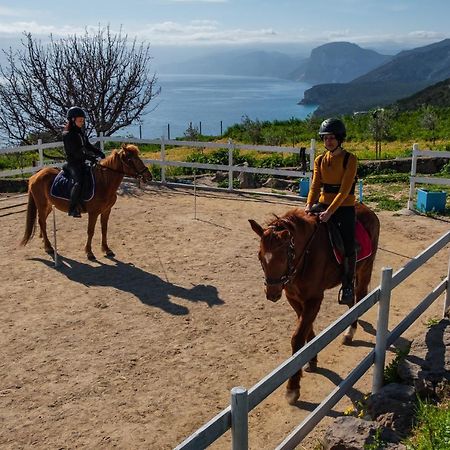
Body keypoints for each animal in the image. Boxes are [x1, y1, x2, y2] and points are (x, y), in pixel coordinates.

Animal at [21, 142, 152, 258]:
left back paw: (45, 242)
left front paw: (106, 249)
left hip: (48, 206)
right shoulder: (93, 213)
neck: (103, 182)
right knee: (42, 222)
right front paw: (89, 252)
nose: (148, 176)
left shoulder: (106, 211)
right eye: (130, 159)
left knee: (41, 221)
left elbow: (104, 229)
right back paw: (48, 247)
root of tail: (35, 176)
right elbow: (91, 231)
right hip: (42, 205)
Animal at [250, 204, 380, 404]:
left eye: (283, 257)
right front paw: (311, 359)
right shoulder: (294, 298)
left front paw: (293, 388)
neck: (305, 256)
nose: (272, 293)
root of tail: (368, 210)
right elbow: (306, 329)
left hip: (365, 268)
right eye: (259, 256)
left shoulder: (314, 299)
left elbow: (297, 338)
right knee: (351, 301)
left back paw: (350, 332)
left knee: (360, 298)